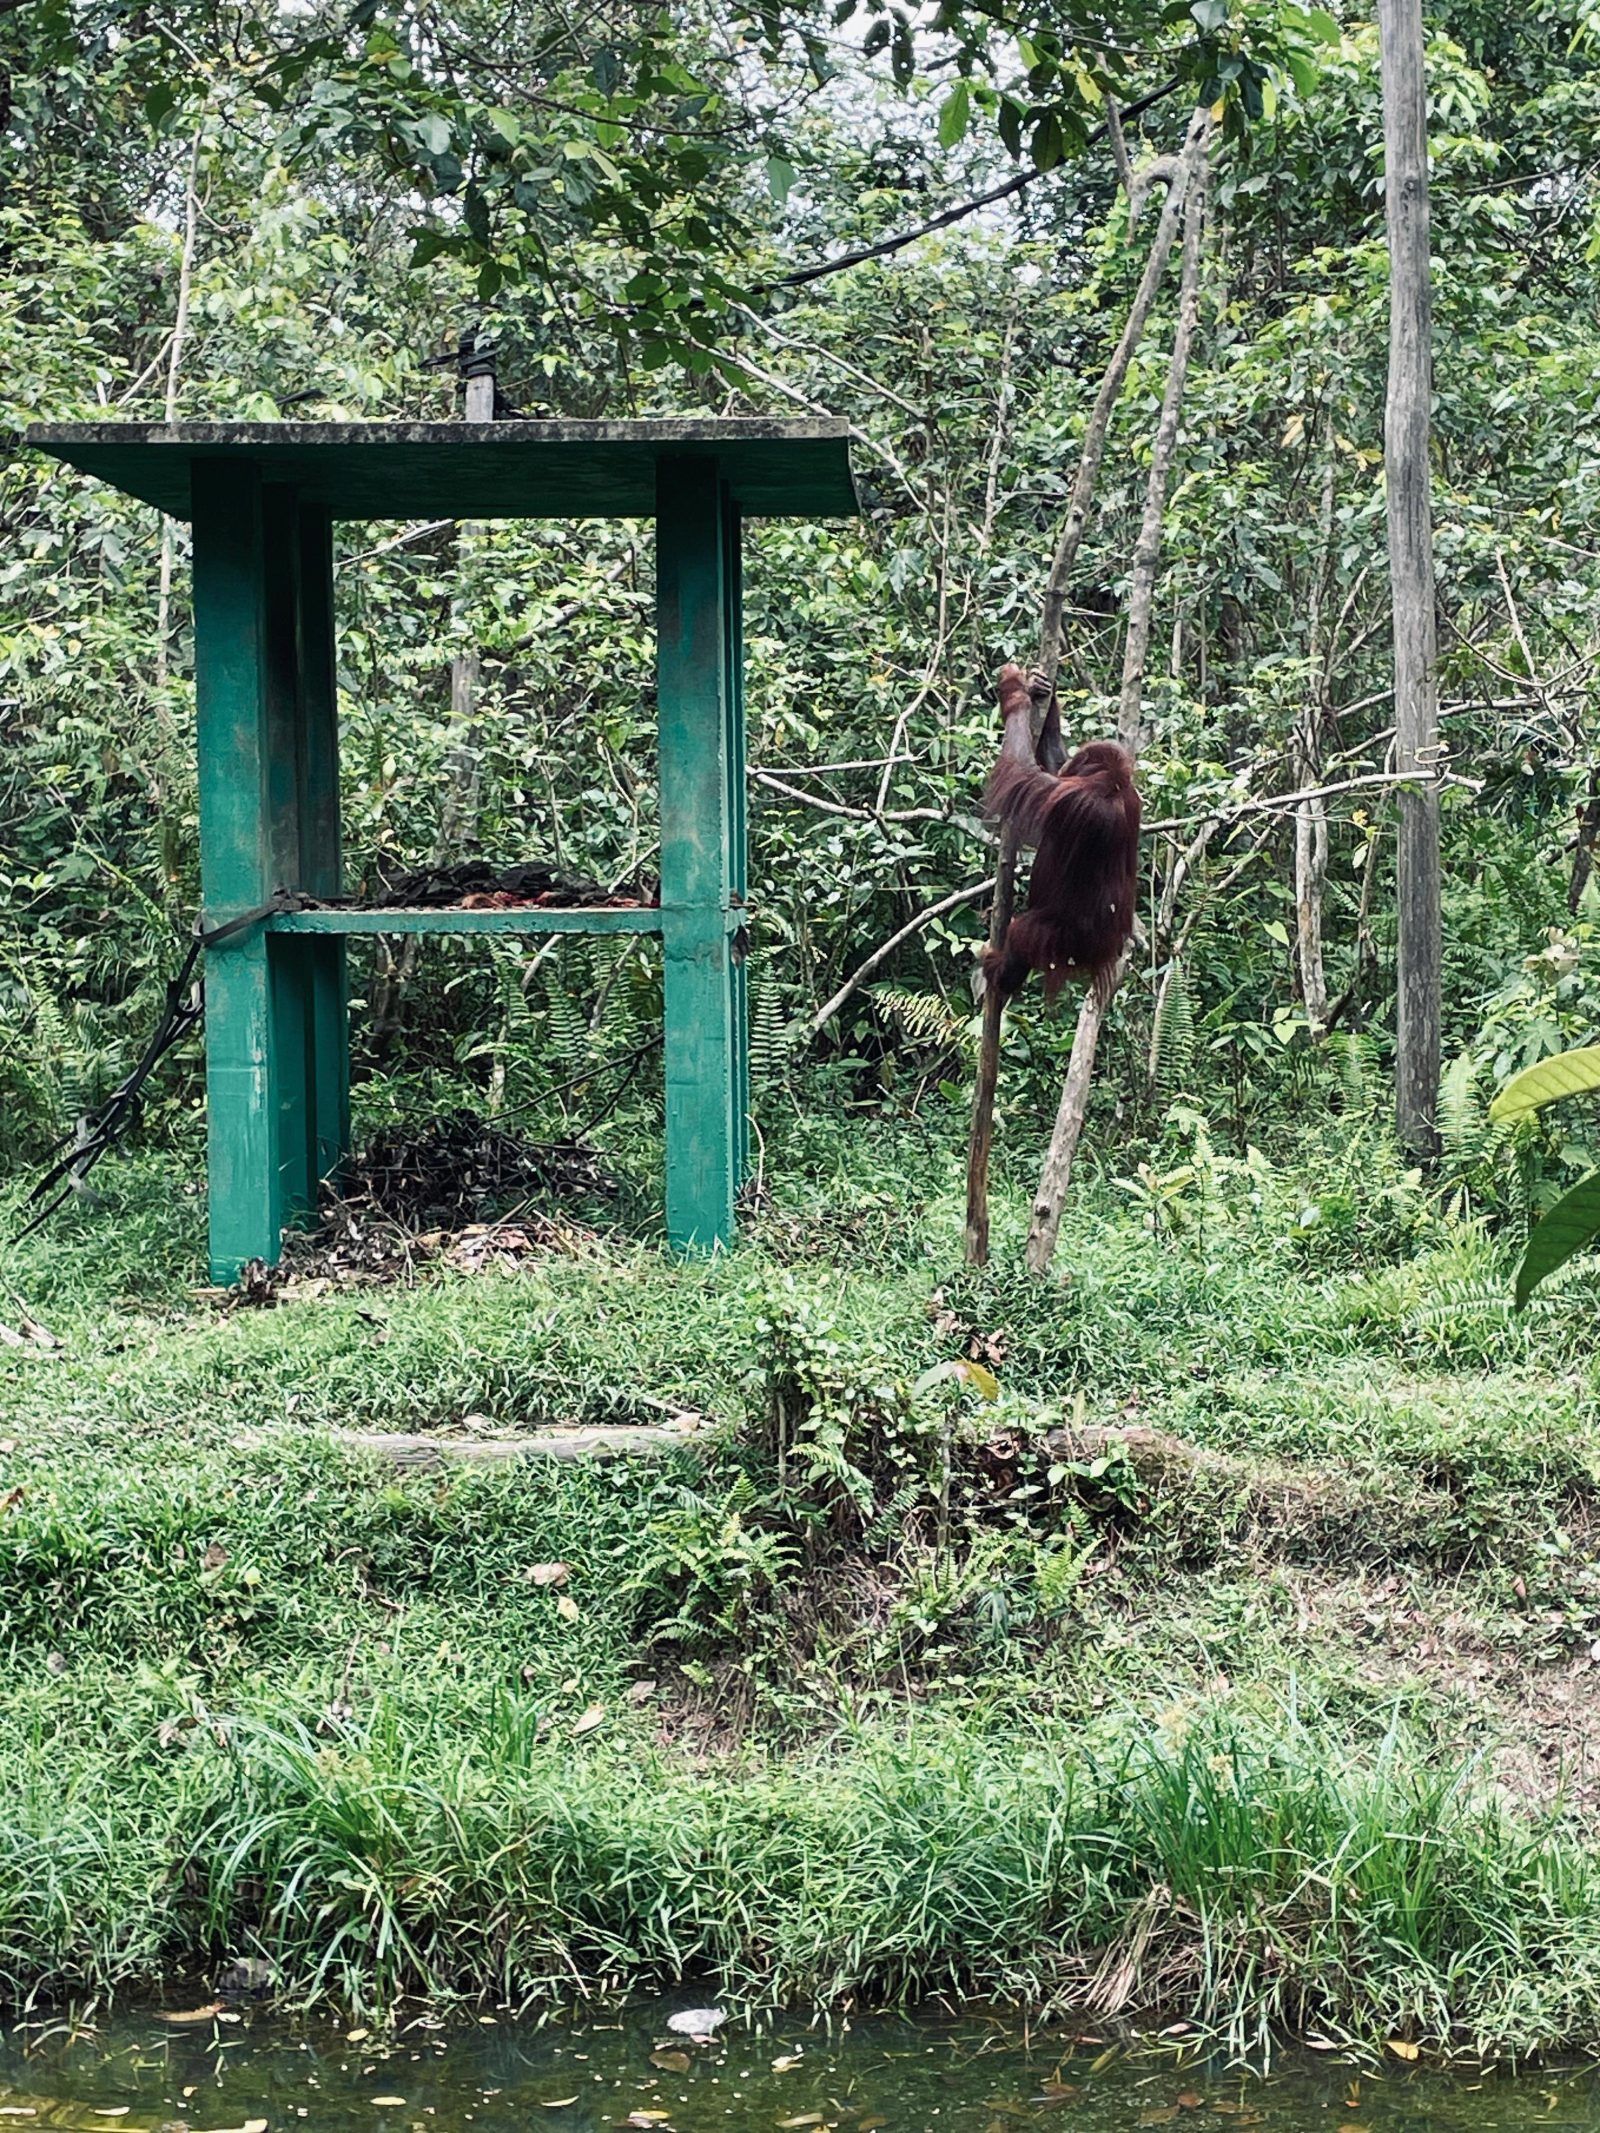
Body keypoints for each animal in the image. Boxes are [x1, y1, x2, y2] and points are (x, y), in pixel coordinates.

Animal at [981, 662, 1141, 1006]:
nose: (1070, 768)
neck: (1115, 787)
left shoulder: (1068, 797)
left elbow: (1019, 771)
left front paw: (1013, 692)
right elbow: (1047, 763)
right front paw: (1043, 690)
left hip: (1062, 939)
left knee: (1022, 933)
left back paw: (1003, 974)